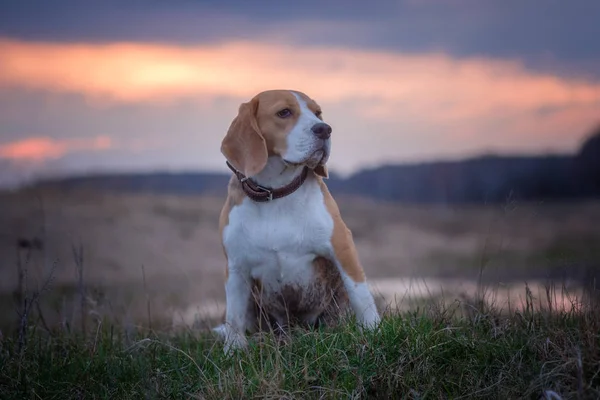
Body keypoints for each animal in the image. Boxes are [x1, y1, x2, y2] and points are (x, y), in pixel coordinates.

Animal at [214, 89, 380, 352]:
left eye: (318, 112)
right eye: (284, 112)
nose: (325, 129)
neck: (276, 193)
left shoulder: (342, 247)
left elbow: (361, 294)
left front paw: (373, 331)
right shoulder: (236, 267)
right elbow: (234, 317)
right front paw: (233, 351)